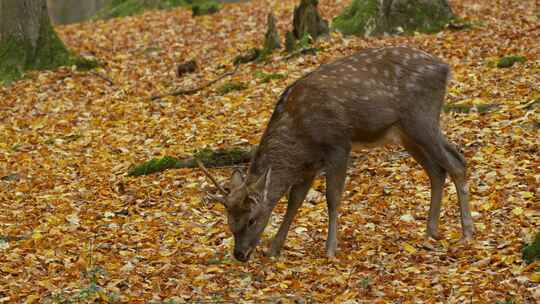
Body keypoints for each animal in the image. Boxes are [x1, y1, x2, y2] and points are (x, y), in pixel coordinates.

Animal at [198, 45, 472, 262]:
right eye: (229, 221)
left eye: (252, 219)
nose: (240, 254)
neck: (299, 136)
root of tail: (444, 67)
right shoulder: (309, 164)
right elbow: (294, 202)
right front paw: (274, 248)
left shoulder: (338, 144)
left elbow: (333, 197)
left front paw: (330, 249)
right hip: (406, 132)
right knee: (439, 168)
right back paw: (431, 231)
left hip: (420, 118)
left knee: (456, 163)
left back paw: (467, 232)